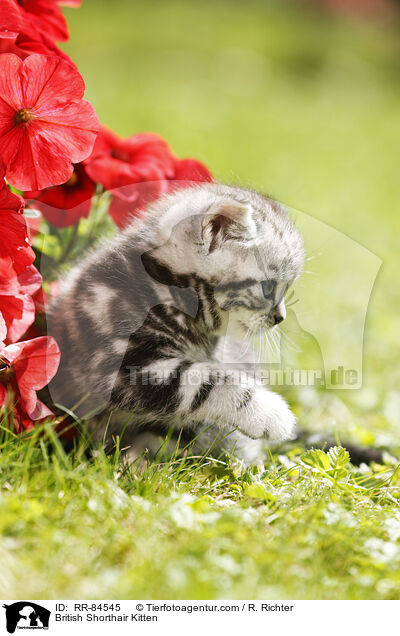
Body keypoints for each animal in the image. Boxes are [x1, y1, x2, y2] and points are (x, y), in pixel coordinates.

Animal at [49, 183, 306, 462]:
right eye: (268, 287)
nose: (280, 318)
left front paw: (142, 460)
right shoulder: (119, 364)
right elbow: (204, 382)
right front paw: (269, 412)